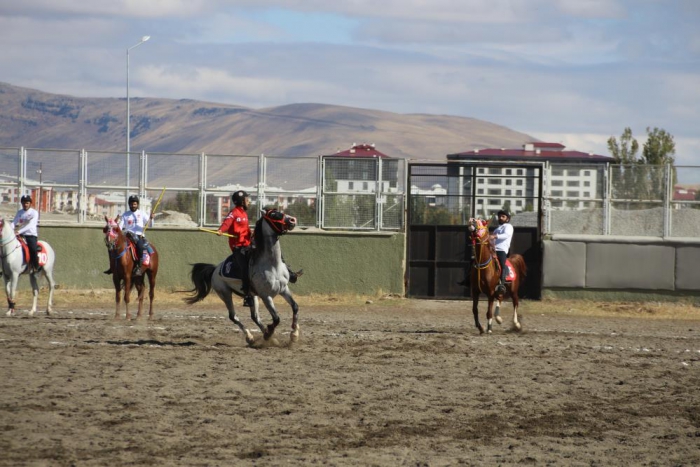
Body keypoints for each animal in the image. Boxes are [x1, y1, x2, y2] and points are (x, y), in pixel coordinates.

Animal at [185, 208, 300, 346]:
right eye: (273, 214)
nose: (292, 220)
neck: (272, 265)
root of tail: (215, 269)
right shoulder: (266, 296)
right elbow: (276, 318)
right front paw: (270, 332)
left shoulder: (284, 289)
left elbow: (295, 307)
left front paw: (294, 334)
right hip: (225, 293)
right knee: (233, 316)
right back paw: (251, 337)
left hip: (252, 296)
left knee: (255, 317)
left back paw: (269, 337)